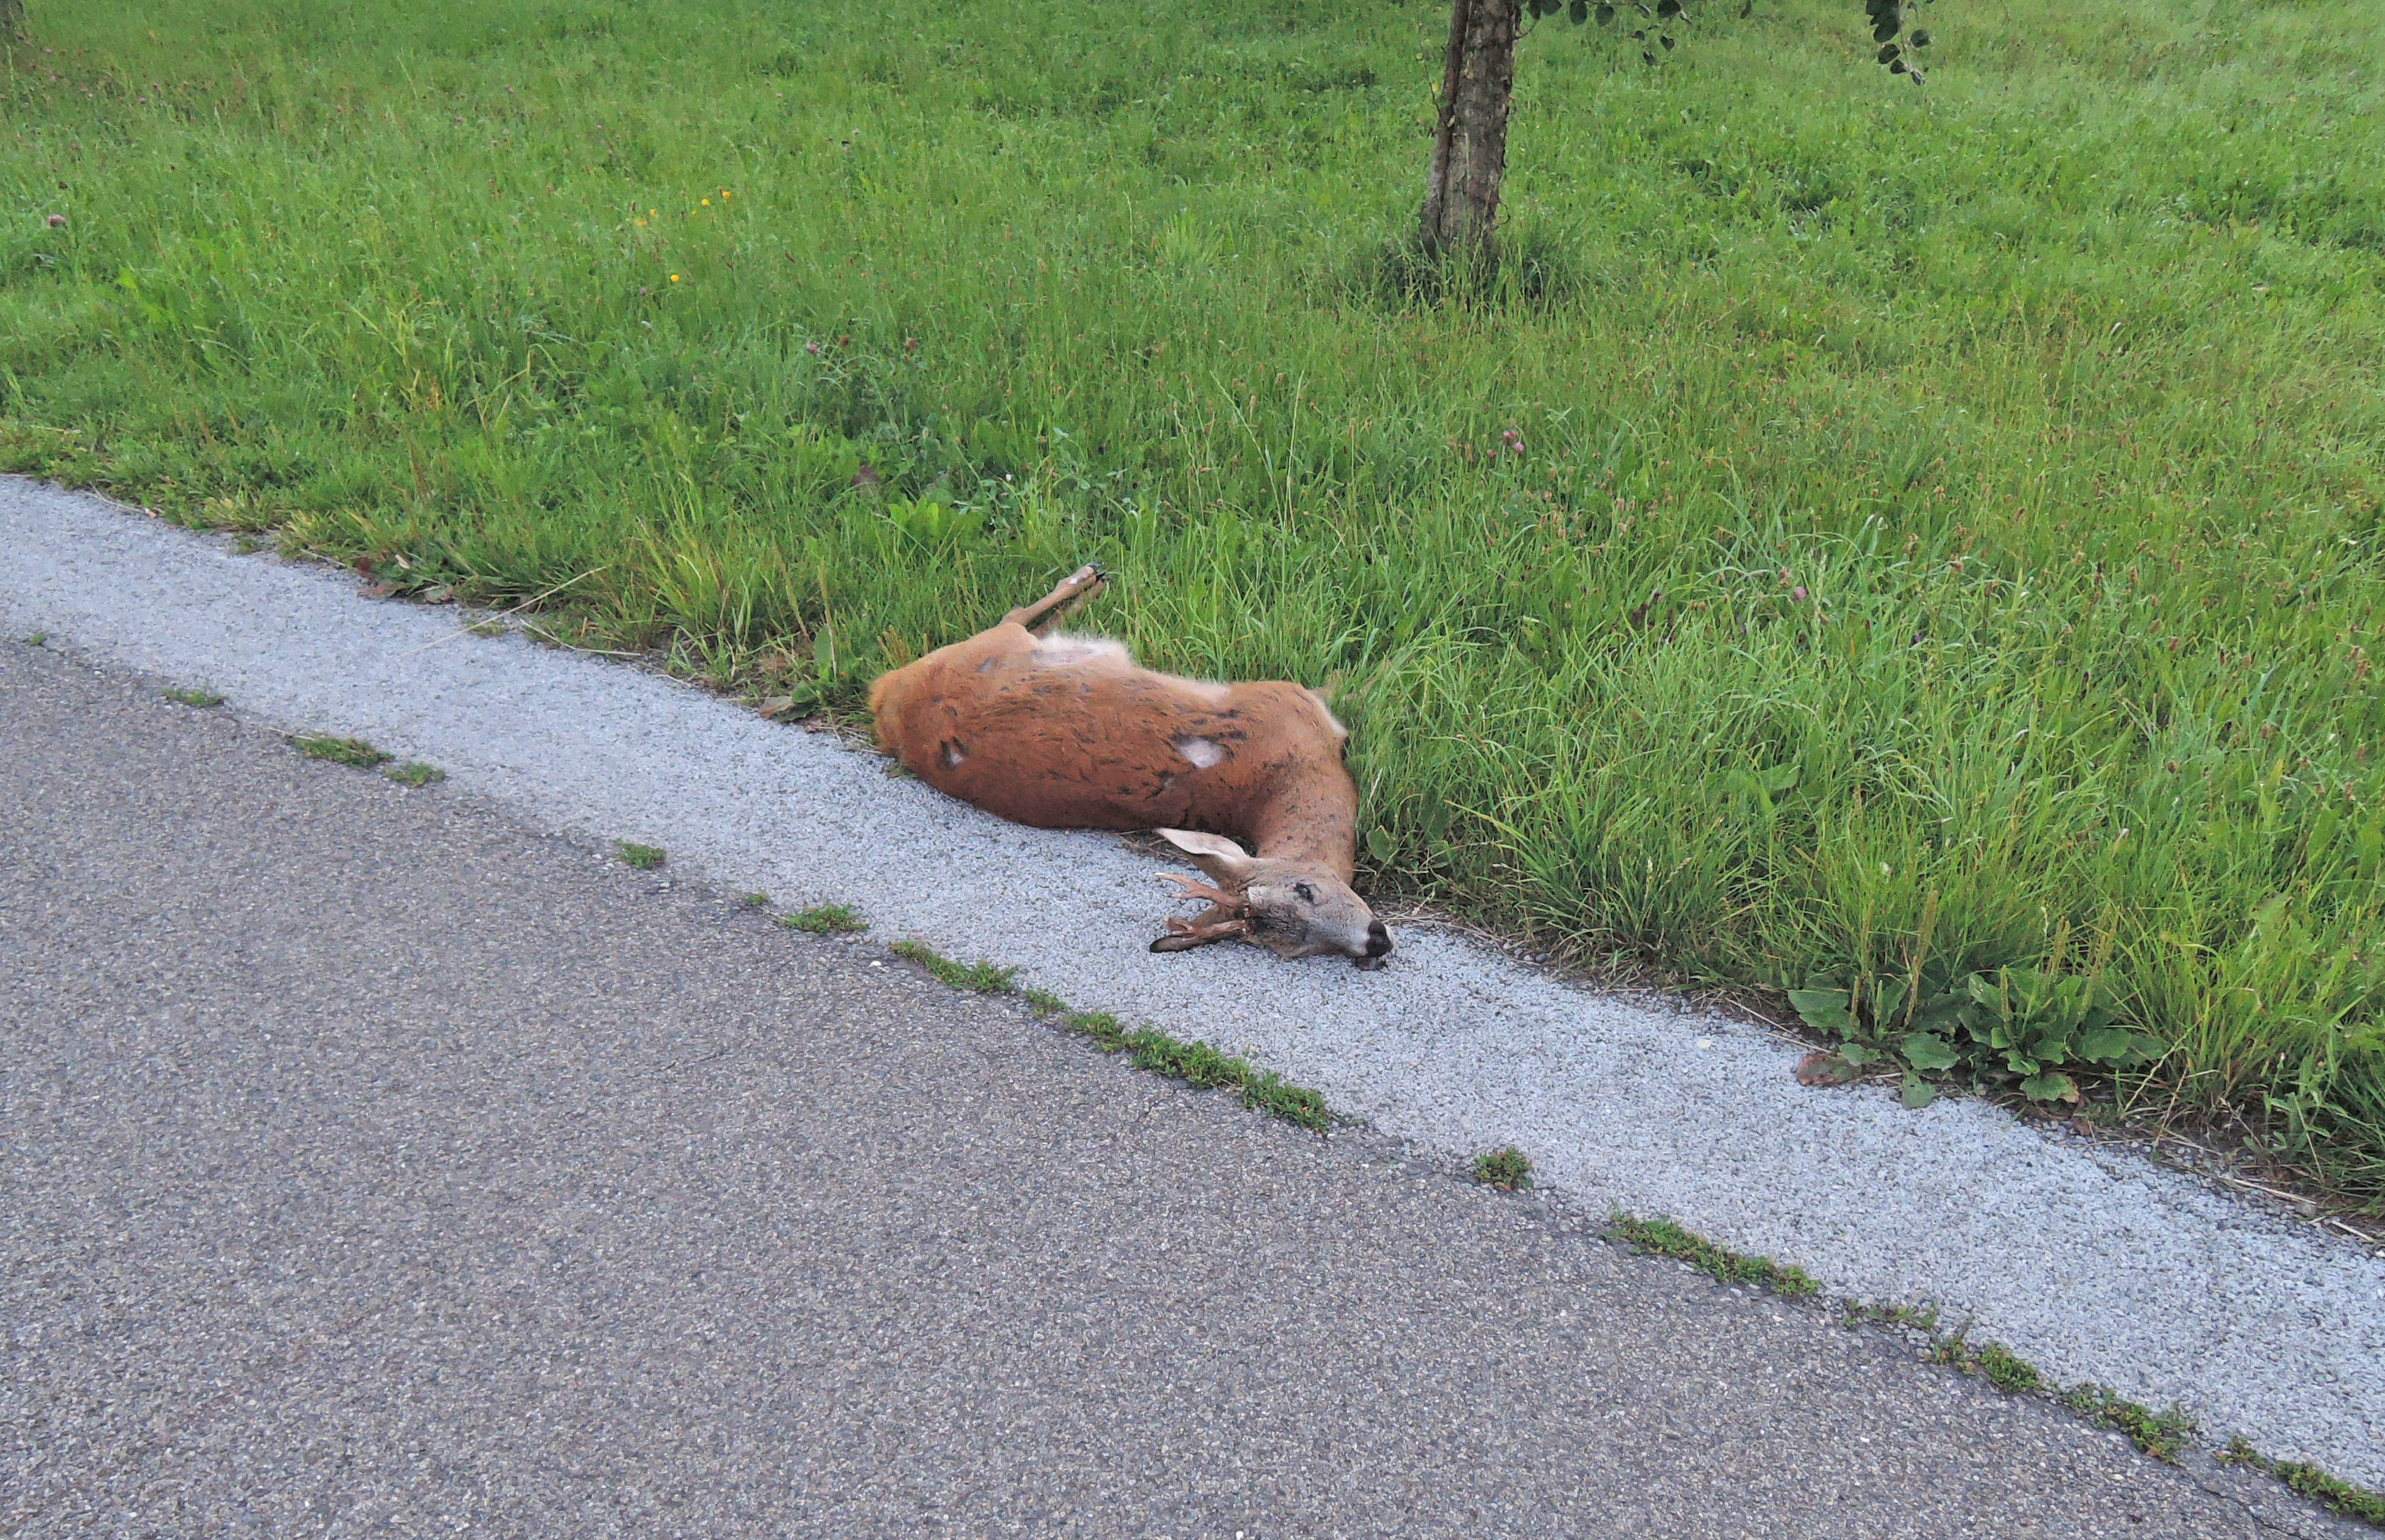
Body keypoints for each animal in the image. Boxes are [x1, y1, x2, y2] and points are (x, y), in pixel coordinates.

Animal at [873, 567, 1392, 972]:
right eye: (1298, 945)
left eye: (1306, 894)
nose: (1377, 940)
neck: (1290, 772)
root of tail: (886, 699)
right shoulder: (1288, 698)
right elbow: (1354, 684)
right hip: (990, 646)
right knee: (1012, 615)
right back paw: (1089, 578)